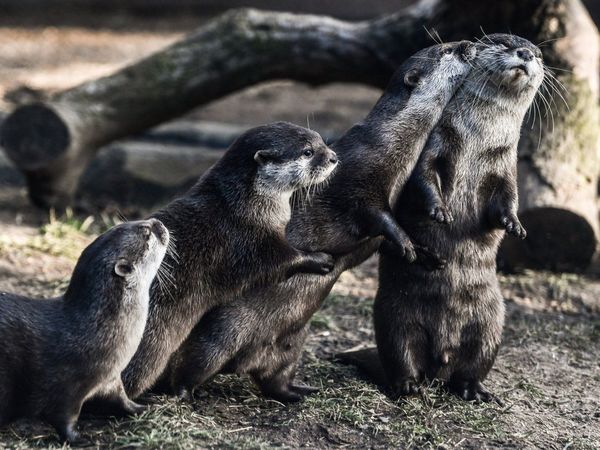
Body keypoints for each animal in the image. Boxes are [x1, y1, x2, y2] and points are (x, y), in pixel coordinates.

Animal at [0, 219, 169, 442]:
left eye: (126, 223)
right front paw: (80, 439)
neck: (95, 330)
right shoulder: (66, 385)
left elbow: (121, 399)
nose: (158, 222)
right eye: (147, 233)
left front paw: (144, 408)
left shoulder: (111, 377)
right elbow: (63, 417)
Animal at [119, 122, 340, 398]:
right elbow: (281, 263)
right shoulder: (249, 243)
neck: (244, 206)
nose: (333, 157)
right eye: (308, 152)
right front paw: (320, 258)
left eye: (321, 140)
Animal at [166, 41, 476, 400]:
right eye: (446, 51)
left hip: (292, 343)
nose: (470, 46)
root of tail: (242, 362)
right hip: (221, 331)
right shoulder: (359, 184)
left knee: (273, 378)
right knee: (195, 361)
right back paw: (182, 392)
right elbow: (378, 217)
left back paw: (298, 391)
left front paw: (427, 255)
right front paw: (407, 245)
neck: (391, 142)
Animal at [372, 34, 548, 400]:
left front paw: (514, 225)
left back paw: (474, 389)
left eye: (539, 55)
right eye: (503, 42)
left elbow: (508, 198)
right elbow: (423, 178)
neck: (479, 141)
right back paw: (408, 385)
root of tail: (440, 361)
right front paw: (440, 211)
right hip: (393, 315)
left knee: (474, 363)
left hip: (492, 322)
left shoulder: (504, 163)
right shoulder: (438, 143)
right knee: (399, 351)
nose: (526, 53)